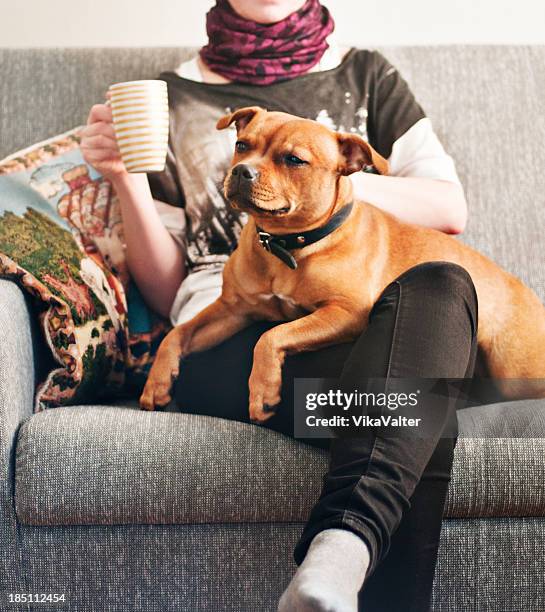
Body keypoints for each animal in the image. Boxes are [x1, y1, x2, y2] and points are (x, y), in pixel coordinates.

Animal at [139, 106, 544, 420]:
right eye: (242, 146)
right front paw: (157, 382)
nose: (242, 171)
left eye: (294, 160)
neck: (288, 246)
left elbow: (272, 336)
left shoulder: (346, 313)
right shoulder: (232, 311)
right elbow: (178, 333)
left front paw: (263, 391)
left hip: (515, 369)